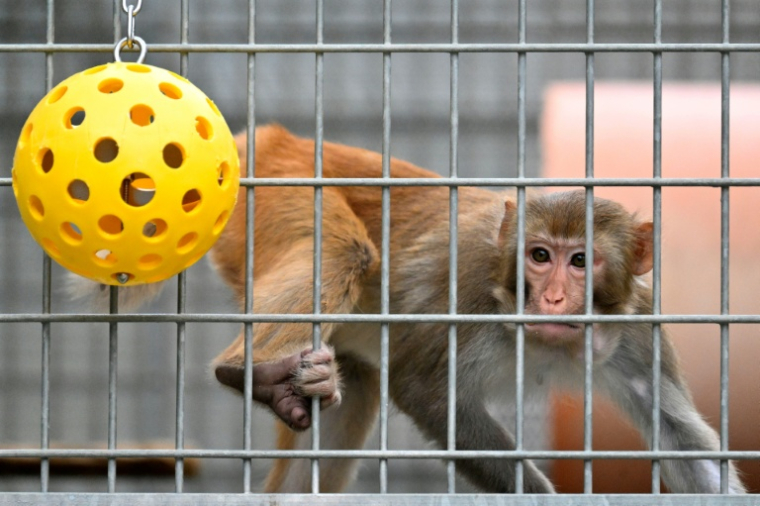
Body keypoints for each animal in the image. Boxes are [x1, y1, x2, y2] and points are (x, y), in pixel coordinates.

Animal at [69, 124, 745, 493]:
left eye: (581, 262)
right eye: (539, 255)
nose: (553, 297)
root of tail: (272, 138)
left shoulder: (636, 329)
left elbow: (679, 437)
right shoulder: (469, 294)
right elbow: (427, 390)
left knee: (356, 385)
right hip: (279, 189)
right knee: (343, 249)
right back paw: (246, 370)